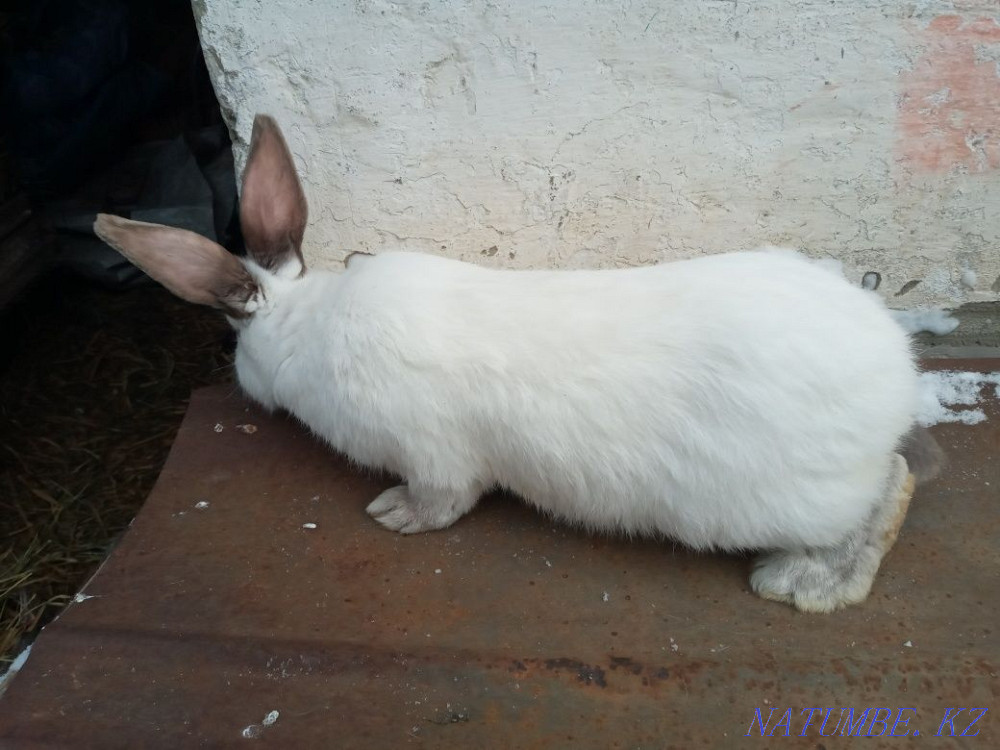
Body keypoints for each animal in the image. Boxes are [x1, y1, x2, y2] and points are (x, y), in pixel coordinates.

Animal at [94, 114, 940, 613]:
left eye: (235, 345)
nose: (240, 380)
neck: (310, 323)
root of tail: (894, 375)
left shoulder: (435, 458)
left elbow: (442, 502)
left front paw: (393, 516)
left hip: (802, 499)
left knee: (890, 492)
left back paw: (804, 585)